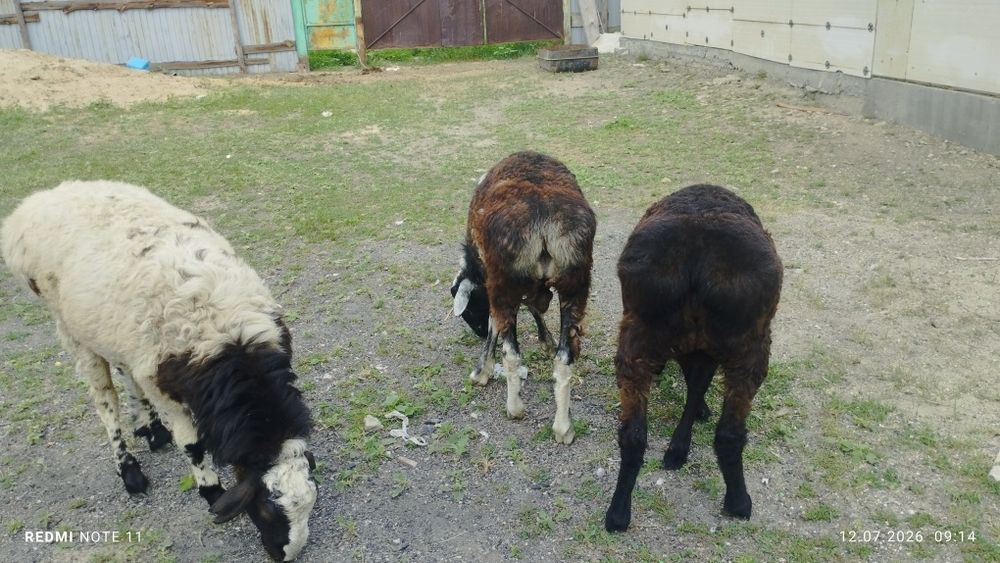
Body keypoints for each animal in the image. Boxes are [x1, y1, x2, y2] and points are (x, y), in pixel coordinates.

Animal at [1, 180, 317, 561]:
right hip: (71, 328)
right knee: (105, 400)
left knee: (125, 373)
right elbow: (194, 446)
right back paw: (129, 470)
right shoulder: (164, 386)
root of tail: (37, 201)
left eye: (309, 506)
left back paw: (151, 430)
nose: (285, 554)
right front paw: (210, 489)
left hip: (118, 332)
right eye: (268, 510)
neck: (231, 345)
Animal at [451, 151, 596, 444]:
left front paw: (481, 370)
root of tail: (544, 222)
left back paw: (515, 408)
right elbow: (534, 308)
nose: (477, 334)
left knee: (511, 353)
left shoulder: (494, 284)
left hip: (505, 283)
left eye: (469, 311)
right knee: (564, 359)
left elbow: (497, 324)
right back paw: (564, 427)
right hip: (576, 281)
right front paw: (547, 341)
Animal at [604, 184, 782, 531]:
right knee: (729, 434)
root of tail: (699, 258)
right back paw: (739, 502)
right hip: (752, 346)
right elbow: (697, 387)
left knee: (633, 435)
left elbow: (695, 386)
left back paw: (618, 513)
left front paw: (680, 446)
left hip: (637, 339)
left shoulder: (694, 348)